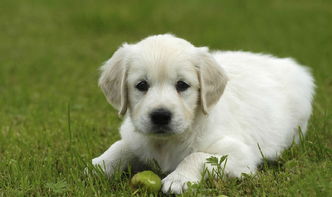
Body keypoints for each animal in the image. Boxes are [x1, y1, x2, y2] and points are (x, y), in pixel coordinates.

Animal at [92, 34, 316, 194]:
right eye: (141, 85)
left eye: (182, 85)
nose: (161, 116)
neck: (167, 143)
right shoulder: (136, 138)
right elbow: (120, 146)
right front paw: (99, 166)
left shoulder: (241, 155)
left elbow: (197, 156)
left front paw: (178, 179)